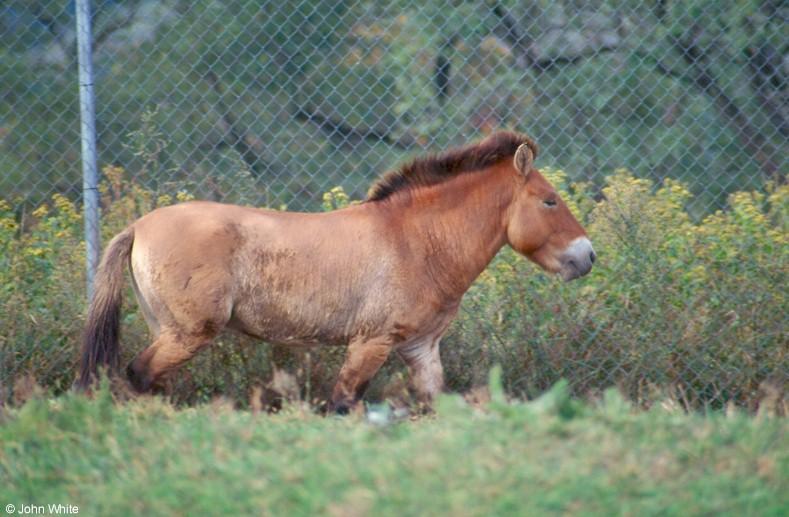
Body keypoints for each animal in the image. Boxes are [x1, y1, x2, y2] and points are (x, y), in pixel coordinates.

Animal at [77, 131, 596, 410]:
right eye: (549, 201)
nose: (587, 256)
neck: (416, 241)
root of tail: (139, 226)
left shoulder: (420, 349)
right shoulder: (371, 343)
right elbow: (344, 405)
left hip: (168, 331)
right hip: (186, 334)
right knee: (139, 374)